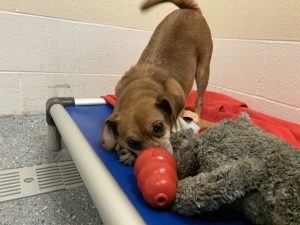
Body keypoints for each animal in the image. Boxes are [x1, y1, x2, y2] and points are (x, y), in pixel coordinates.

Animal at [102, 0, 212, 165]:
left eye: (158, 127)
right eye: (133, 142)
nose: (157, 155)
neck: (142, 84)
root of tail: (189, 9)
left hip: (202, 71)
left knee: (200, 99)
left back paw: (197, 114)